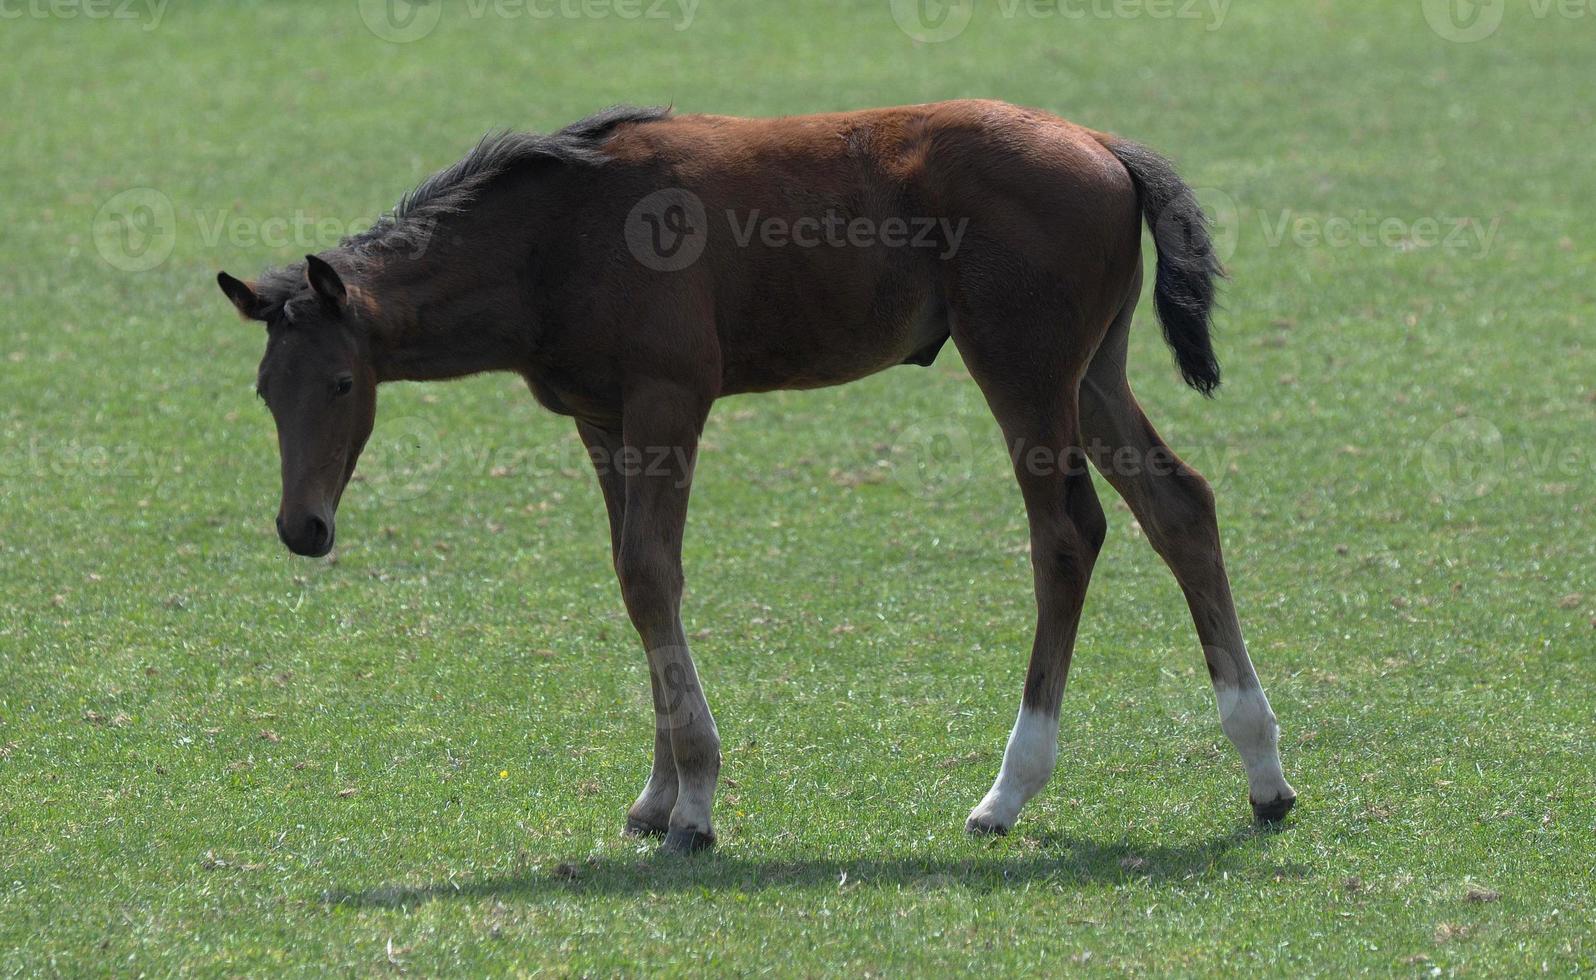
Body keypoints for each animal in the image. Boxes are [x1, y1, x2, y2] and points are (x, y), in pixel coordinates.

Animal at [218, 99, 1295, 855]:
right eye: (266, 391)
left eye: (343, 382)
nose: (302, 526)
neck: (552, 238)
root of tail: (1104, 145)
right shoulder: (605, 423)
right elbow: (637, 581)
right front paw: (656, 795)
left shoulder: (668, 401)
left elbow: (651, 574)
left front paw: (695, 802)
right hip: (1094, 372)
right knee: (1180, 506)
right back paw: (1263, 771)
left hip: (1024, 370)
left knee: (1068, 533)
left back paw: (1009, 789)